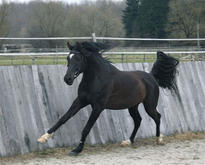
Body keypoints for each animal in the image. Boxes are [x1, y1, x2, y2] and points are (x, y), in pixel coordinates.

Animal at [37, 41, 179, 156]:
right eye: (68, 58)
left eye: (78, 58)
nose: (68, 79)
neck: (97, 78)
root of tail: (151, 76)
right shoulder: (80, 101)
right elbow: (63, 118)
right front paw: (43, 138)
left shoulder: (98, 107)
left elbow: (86, 128)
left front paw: (77, 150)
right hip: (132, 106)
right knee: (138, 120)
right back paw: (128, 141)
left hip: (149, 105)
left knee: (157, 117)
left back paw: (159, 139)